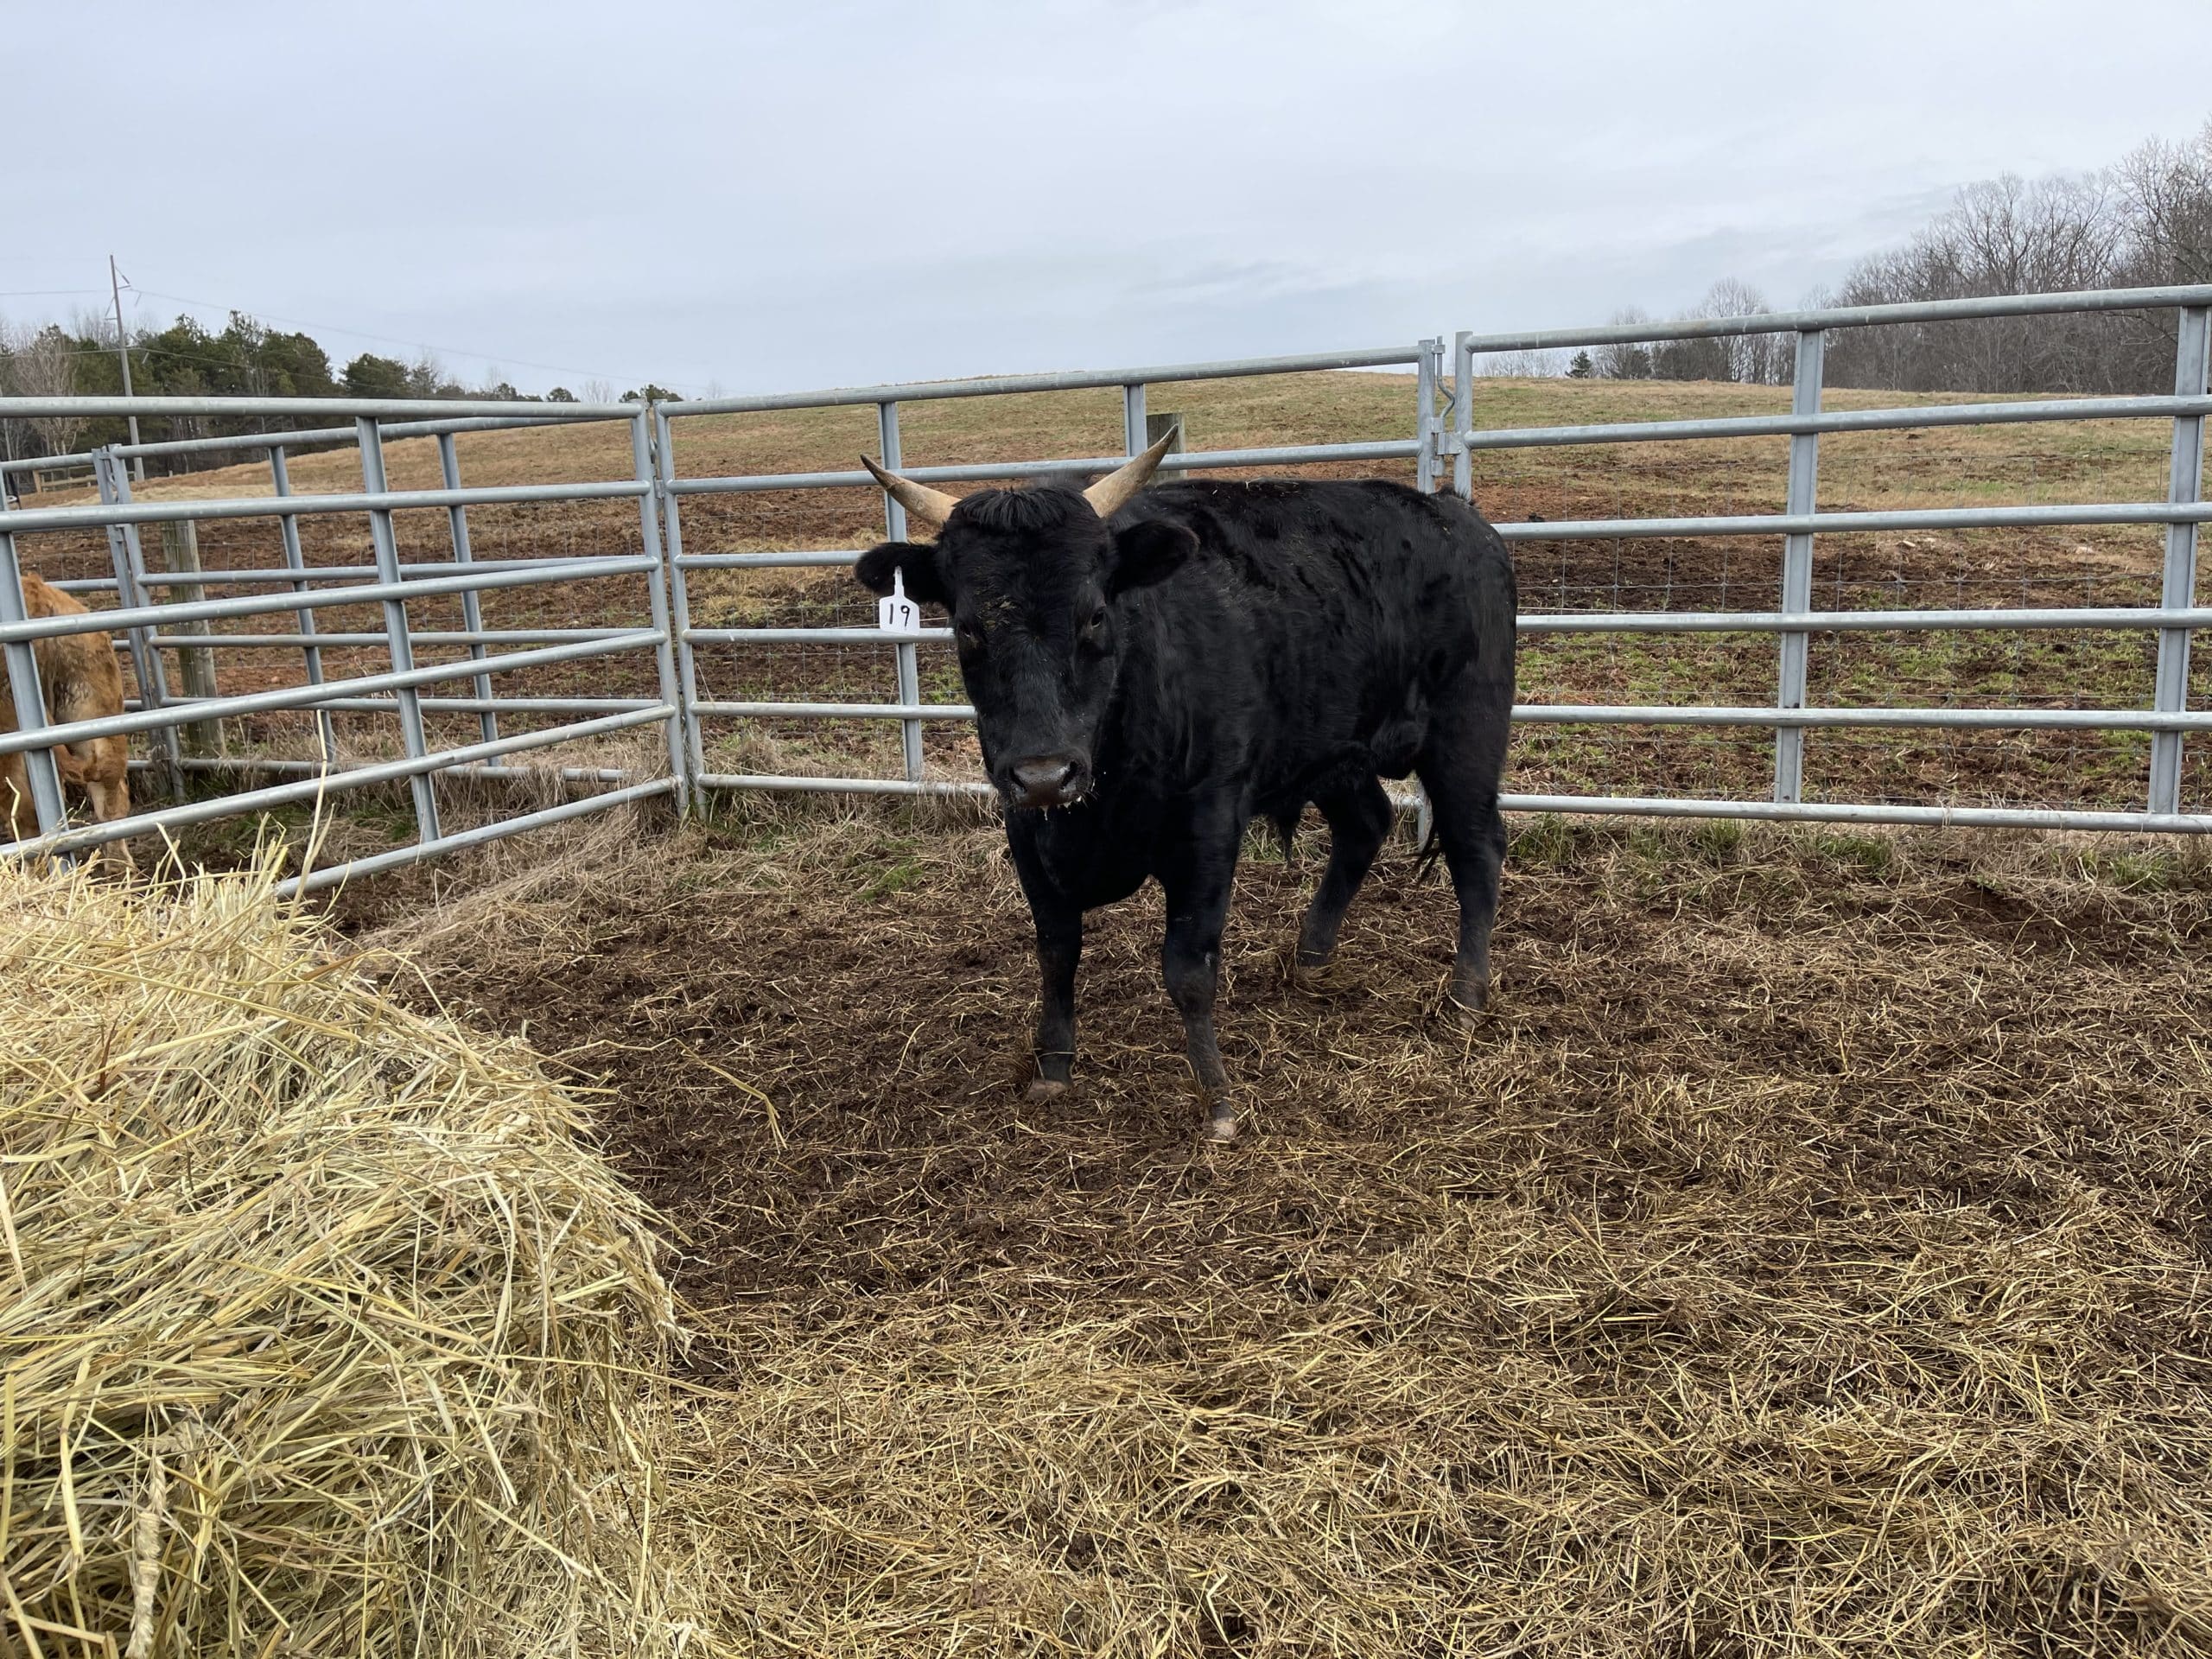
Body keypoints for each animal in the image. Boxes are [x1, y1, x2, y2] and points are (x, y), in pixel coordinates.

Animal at [849, 468, 1522, 1141]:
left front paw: (1217, 1098)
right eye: (968, 627)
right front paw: (1053, 1064)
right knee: (1365, 826)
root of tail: (1454, 513)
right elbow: (1057, 951)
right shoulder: (1026, 833)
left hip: (1466, 732)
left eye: (1095, 615)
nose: (1046, 775)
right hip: (1332, 750)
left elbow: (1188, 970)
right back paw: (1310, 958)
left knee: (1477, 850)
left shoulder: (1209, 828)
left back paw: (1465, 997)